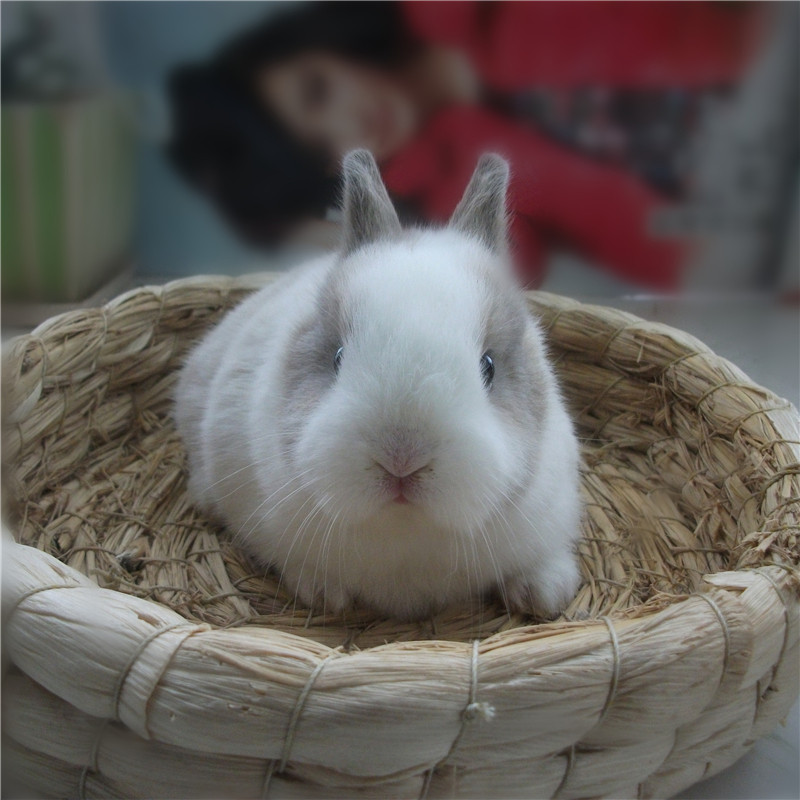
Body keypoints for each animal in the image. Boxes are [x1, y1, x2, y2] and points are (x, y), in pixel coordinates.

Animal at [174, 149, 582, 621]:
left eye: (489, 366)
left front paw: (546, 594)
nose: (401, 459)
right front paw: (323, 593)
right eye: (338, 357)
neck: (405, 536)